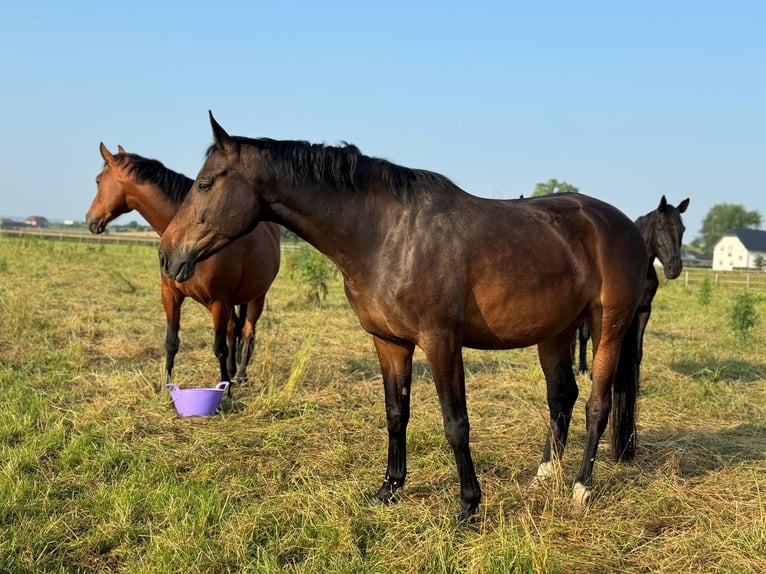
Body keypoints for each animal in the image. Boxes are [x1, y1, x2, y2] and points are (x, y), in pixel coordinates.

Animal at [85, 143, 282, 392]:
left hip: (257, 296)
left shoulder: (219, 301)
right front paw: (166, 387)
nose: (90, 220)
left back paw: (240, 376)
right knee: (234, 328)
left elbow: (219, 347)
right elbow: (171, 342)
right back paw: (232, 372)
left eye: (98, 180)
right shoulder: (171, 295)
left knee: (247, 332)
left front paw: (225, 393)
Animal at [159, 113, 652, 520]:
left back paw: (581, 489)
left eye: (205, 184)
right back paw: (544, 476)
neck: (384, 236)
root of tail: (622, 225)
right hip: (556, 331)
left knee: (597, 404)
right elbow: (396, 412)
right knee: (562, 396)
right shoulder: (389, 341)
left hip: (608, 325)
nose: (167, 255)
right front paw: (388, 489)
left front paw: (468, 506)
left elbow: (456, 423)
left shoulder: (440, 342)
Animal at [572, 198, 692, 376]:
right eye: (660, 227)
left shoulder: (644, 311)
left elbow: (637, 352)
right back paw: (582, 368)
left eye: (682, 229)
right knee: (583, 335)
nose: (674, 268)